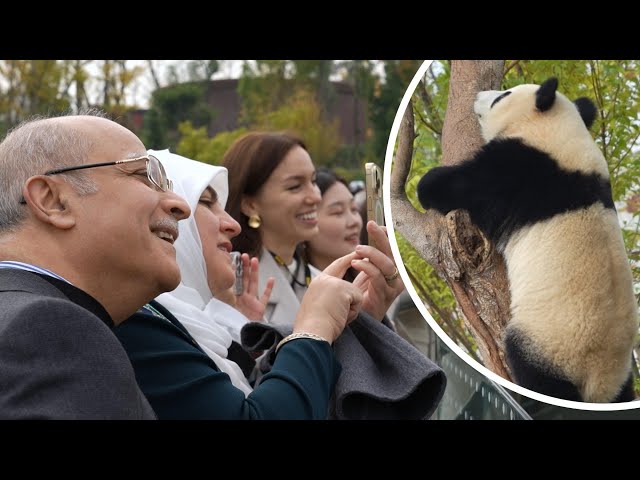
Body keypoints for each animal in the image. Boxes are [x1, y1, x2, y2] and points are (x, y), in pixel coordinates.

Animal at [418, 77, 636, 404]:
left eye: (503, 96)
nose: (478, 96)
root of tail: (597, 385)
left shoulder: (520, 172)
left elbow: (465, 186)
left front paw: (427, 184)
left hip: (549, 344)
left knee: (534, 371)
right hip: (619, 377)